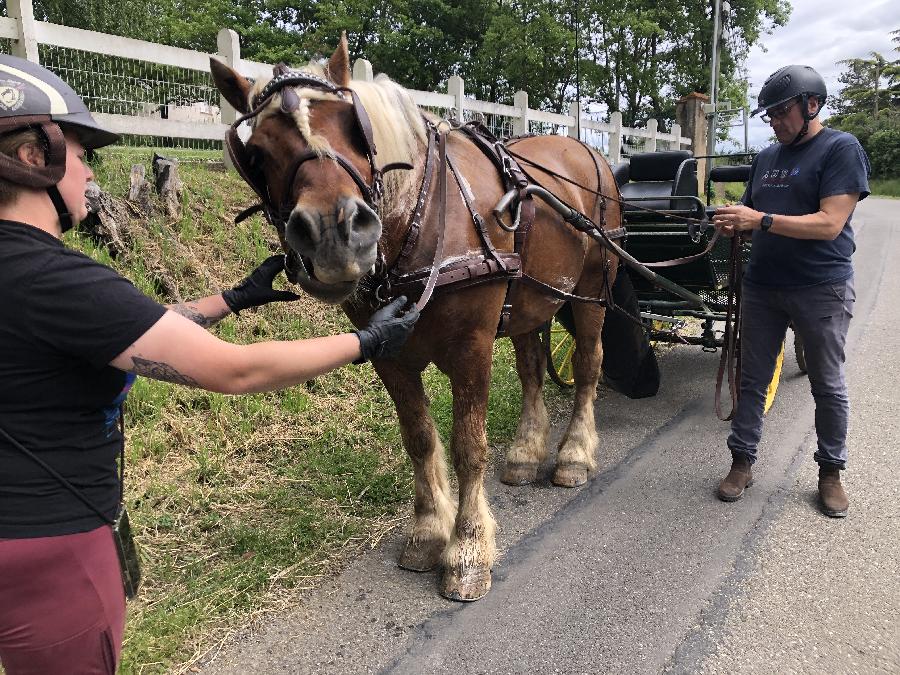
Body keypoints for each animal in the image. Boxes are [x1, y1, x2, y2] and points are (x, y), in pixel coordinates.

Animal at [211, 35, 620, 604]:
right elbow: (420, 440)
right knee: (533, 368)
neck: (420, 220)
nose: (334, 235)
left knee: (587, 365)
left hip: (590, 295)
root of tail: (589, 151)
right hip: (531, 301)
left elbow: (469, 446)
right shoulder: (390, 355)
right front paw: (428, 531)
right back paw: (525, 452)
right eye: (257, 152)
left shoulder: (472, 348)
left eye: (353, 127)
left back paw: (574, 455)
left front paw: (468, 549)